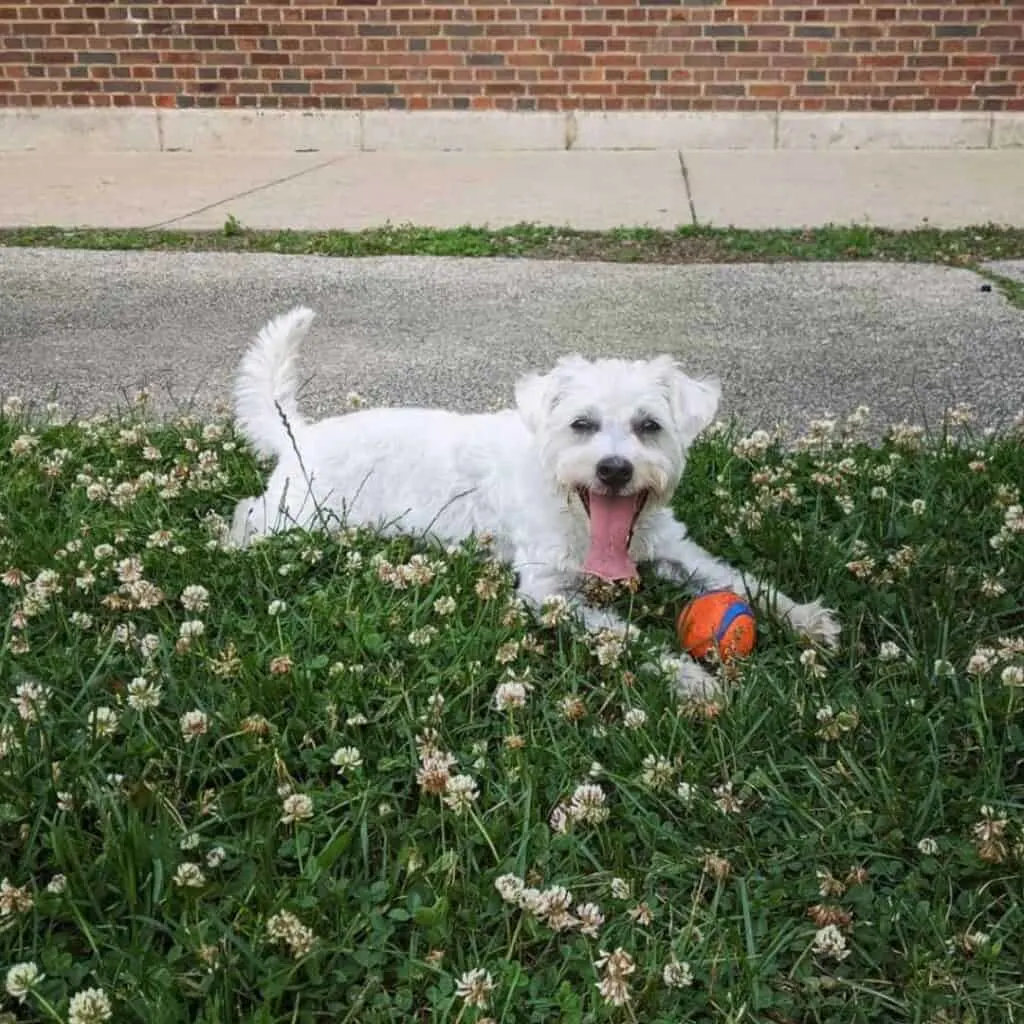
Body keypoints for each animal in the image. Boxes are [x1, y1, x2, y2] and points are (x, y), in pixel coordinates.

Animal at [230, 305, 839, 696]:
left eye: (649, 426)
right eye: (581, 424)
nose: (613, 469)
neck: (584, 521)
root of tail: (299, 434)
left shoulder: (676, 549)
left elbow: (740, 580)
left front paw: (806, 618)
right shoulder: (547, 592)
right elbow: (624, 635)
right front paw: (688, 677)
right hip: (299, 517)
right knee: (244, 513)